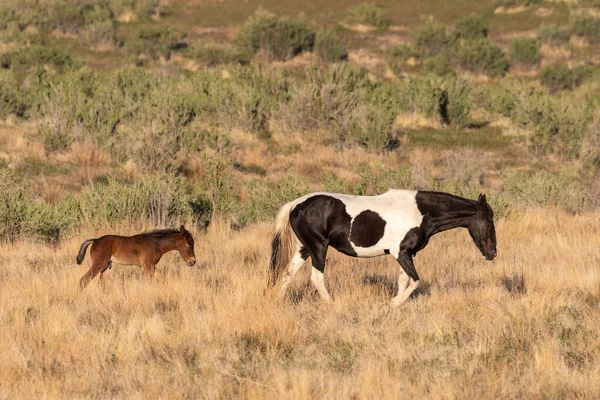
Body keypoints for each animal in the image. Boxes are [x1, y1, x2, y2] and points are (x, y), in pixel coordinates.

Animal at [268, 189, 496, 308]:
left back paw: (279, 302)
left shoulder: (407, 254)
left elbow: (404, 280)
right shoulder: (401, 252)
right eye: (488, 222)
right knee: (316, 278)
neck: (421, 212)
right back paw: (332, 305)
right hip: (318, 248)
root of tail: (295, 204)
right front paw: (392, 304)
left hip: (304, 249)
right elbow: (415, 280)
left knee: (287, 274)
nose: (492, 253)